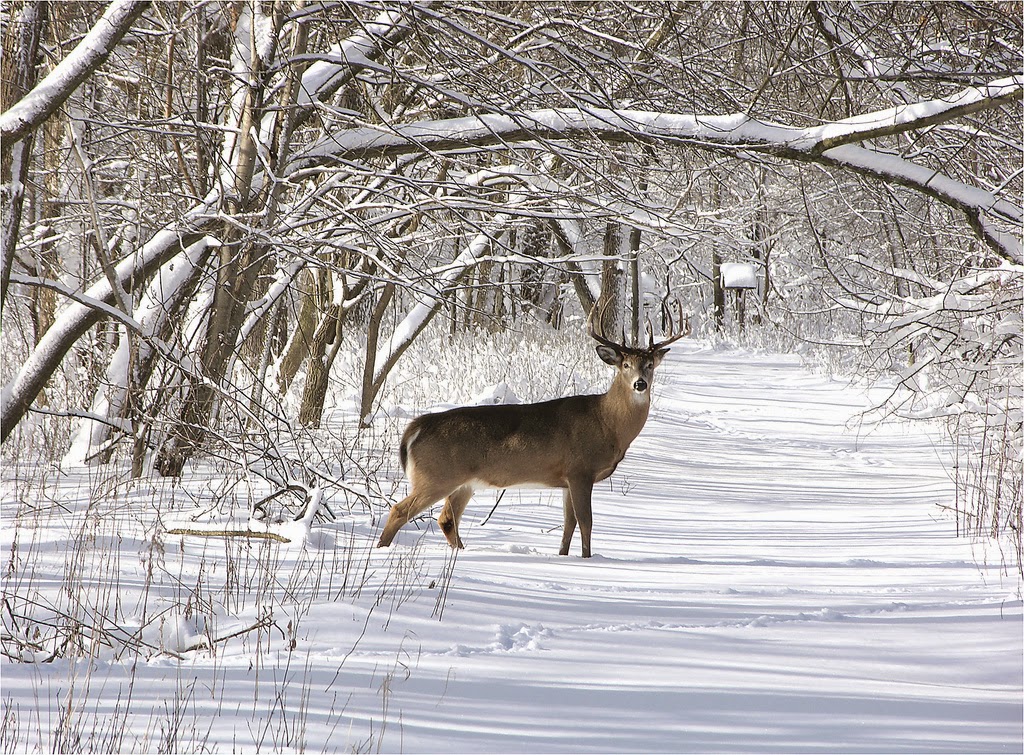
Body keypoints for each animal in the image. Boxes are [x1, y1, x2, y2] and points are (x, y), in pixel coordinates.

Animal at [376, 303, 688, 557]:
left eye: (650, 364)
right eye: (625, 364)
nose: (640, 384)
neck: (606, 423)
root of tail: (416, 427)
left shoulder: (566, 479)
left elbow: (568, 523)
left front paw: (563, 556)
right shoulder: (580, 469)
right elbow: (586, 521)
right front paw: (587, 560)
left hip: (463, 483)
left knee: (447, 520)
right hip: (436, 476)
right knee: (399, 510)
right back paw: (381, 551)